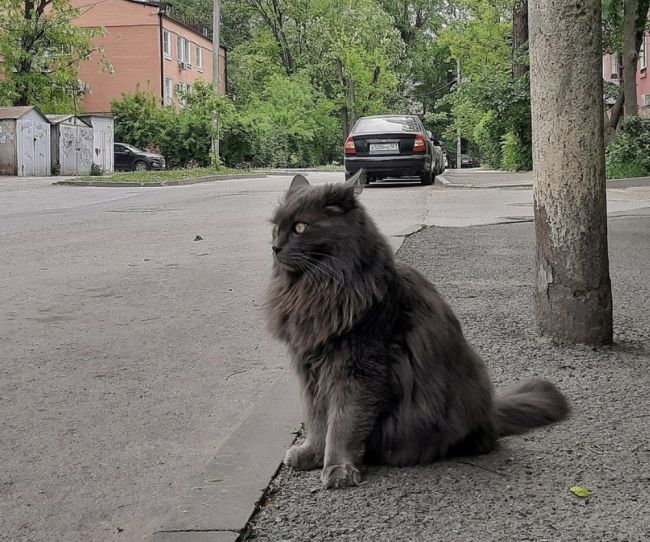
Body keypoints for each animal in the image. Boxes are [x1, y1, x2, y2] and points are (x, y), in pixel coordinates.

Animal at [264, 172, 568, 490]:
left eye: (300, 227)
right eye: (275, 228)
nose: (274, 247)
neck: (317, 289)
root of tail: (492, 414)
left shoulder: (358, 370)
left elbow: (342, 424)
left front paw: (337, 467)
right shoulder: (309, 368)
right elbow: (316, 419)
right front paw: (311, 454)